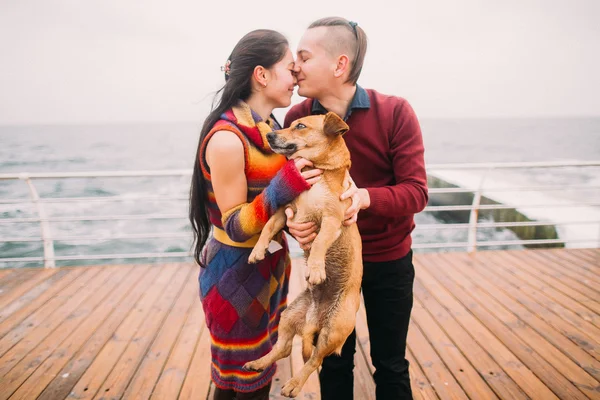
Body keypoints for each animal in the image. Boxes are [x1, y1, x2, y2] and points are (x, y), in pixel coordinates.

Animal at [243, 111, 360, 396]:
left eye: (300, 126)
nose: (270, 135)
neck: (314, 175)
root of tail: (313, 320)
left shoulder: (332, 221)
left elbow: (318, 244)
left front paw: (316, 269)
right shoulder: (282, 213)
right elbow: (266, 230)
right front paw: (257, 251)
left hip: (332, 331)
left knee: (314, 360)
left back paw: (294, 384)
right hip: (288, 315)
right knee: (284, 348)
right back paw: (258, 362)